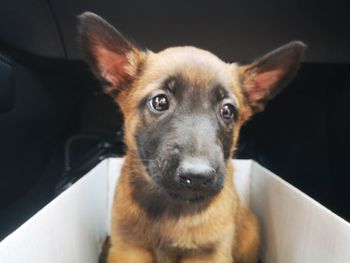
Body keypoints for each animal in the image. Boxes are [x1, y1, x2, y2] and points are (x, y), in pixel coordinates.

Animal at [78, 12, 304, 263]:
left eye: (227, 111)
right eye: (160, 102)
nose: (196, 176)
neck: (170, 207)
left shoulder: (208, 253)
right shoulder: (129, 248)